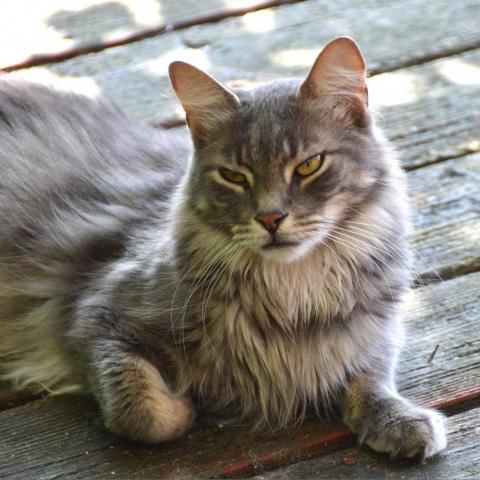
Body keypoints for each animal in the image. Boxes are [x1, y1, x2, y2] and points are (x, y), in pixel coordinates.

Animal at [0, 36, 446, 458]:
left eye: (308, 165)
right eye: (233, 176)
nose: (270, 218)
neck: (291, 294)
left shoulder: (371, 336)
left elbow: (370, 381)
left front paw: (400, 420)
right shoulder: (94, 317)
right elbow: (145, 412)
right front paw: (185, 405)